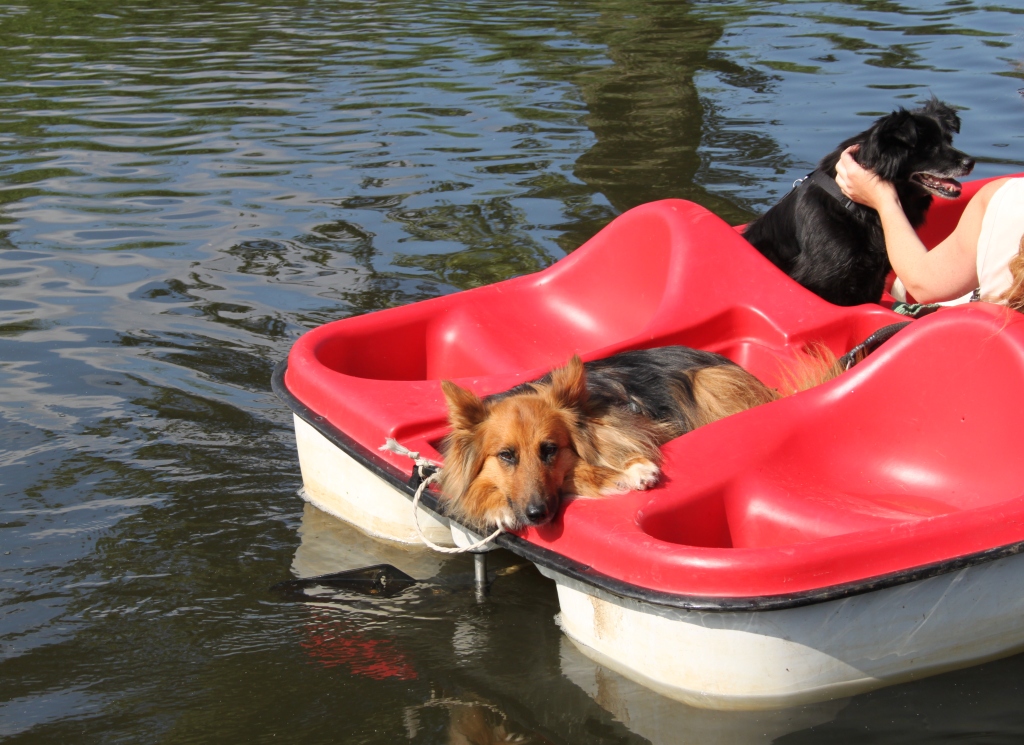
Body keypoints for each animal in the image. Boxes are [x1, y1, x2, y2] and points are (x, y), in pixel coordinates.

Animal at [741, 98, 970, 304]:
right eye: (930, 147)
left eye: (949, 140)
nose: (971, 162)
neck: (854, 208)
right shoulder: (823, 279)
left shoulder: (873, 279)